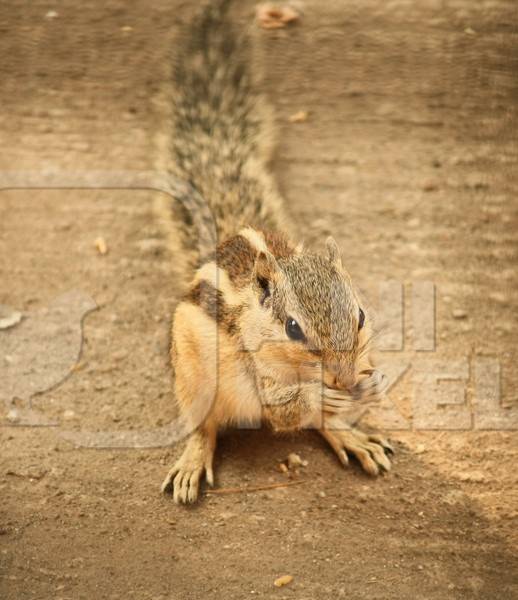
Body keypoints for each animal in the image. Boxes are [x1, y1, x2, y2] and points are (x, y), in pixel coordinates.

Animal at [158, 2, 394, 504]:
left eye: (361, 316)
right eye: (292, 328)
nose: (344, 380)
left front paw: (372, 384)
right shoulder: (259, 374)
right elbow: (284, 409)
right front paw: (323, 397)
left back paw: (352, 436)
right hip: (194, 377)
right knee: (203, 426)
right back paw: (192, 462)